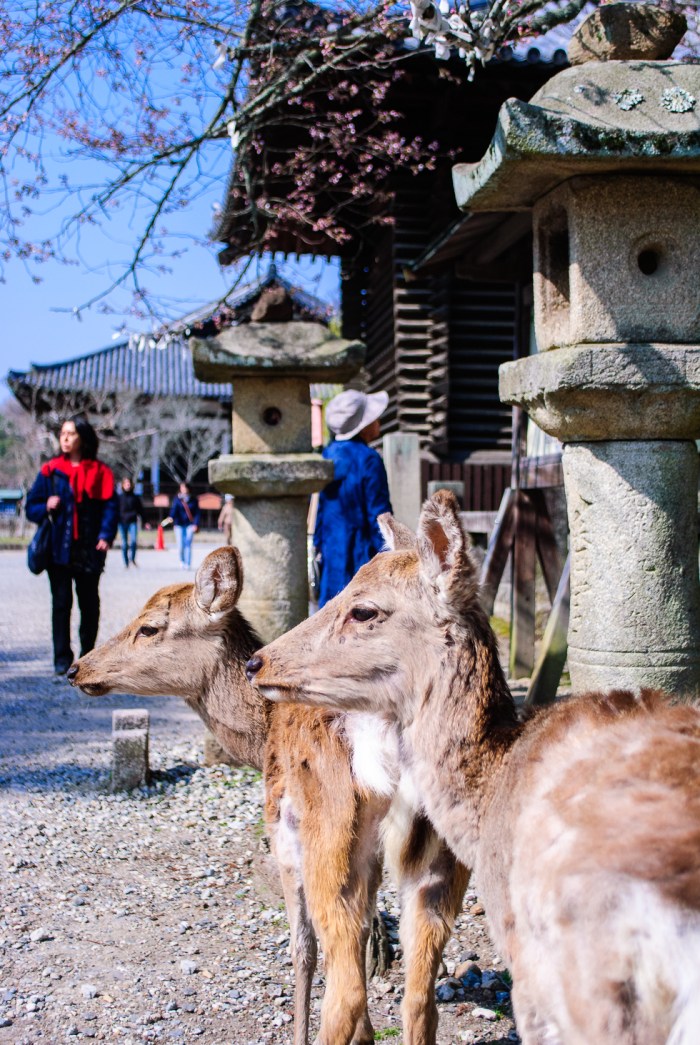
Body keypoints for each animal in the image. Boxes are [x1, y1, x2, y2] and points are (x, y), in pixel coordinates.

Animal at [68, 546, 469, 1045]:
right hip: (443, 856)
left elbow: (303, 947)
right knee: (420, 999)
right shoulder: (370, 857)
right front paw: (368, 1032)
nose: (77, 667)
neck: (262, 739)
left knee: (345, 989)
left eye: (149, 627)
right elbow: (362, 932)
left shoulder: (283, 833)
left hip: (329, 835)